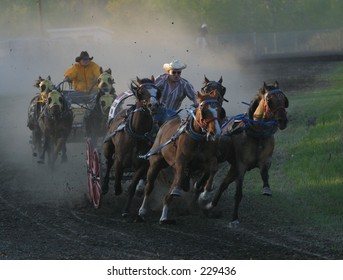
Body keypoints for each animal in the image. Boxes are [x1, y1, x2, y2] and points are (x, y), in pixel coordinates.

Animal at [102, 76, 163, 217]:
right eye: (141, 92)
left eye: (157, 92)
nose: (154, 105)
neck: (137, 135)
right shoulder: (119, 160)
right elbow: (117, 179)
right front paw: (116, 191)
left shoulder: (143, 165)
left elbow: (132, 187)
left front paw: (125, 210)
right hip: (108, 147)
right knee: (108, 163)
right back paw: (104, 187)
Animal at [138, 88, 224, 224]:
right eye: (204, 110)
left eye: (219, 110)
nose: (216, 133)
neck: (198, 140)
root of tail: (165, 124)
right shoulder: (180, 162)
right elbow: (176, 182)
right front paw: (164, 215)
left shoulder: (208, 159)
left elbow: (213, 169)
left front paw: (204, 195)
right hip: (155, 163)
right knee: (149, 187)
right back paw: (143, 211)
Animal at [204, 81, 290, 228]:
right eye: (269, 100)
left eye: (284, 99)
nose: (282, 121)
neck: (257, 134)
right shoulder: (241, 166)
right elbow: (238, 193)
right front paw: (234, 219)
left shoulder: (265, 160)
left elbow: (264, 172)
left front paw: (266, 189)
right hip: (224, 161)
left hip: (232, 168)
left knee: (223, 184)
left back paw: (211, 204)